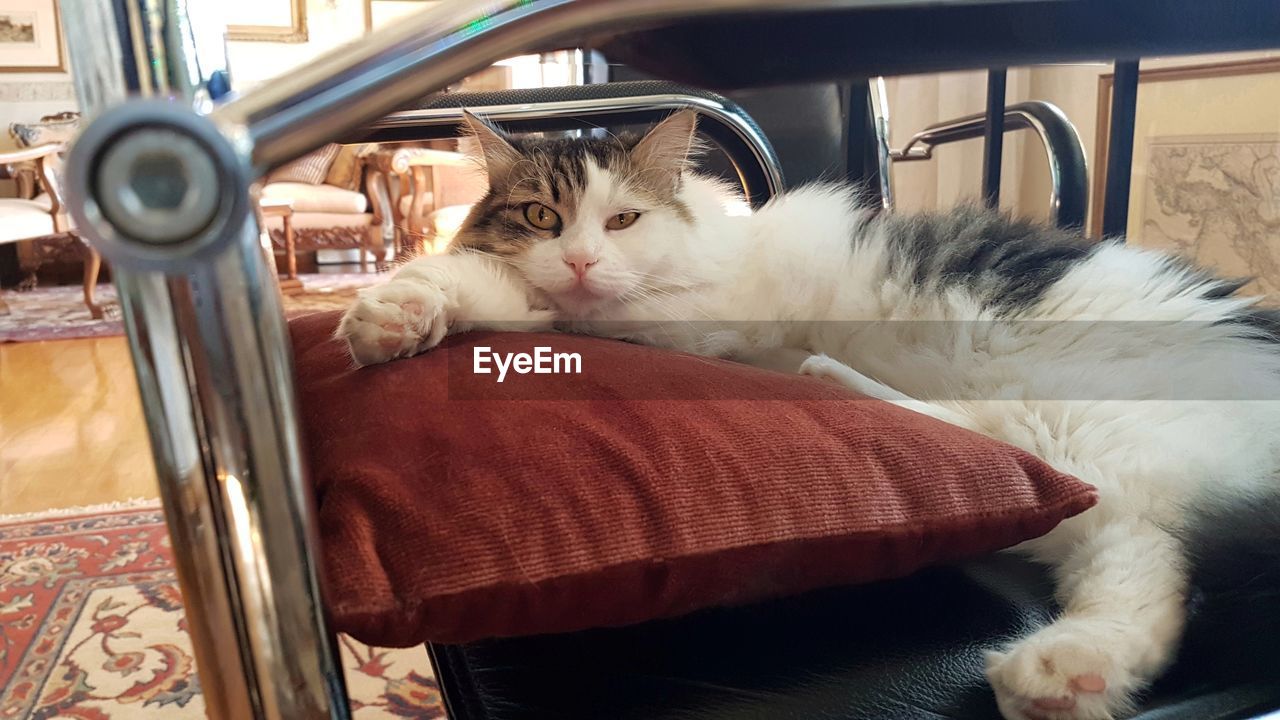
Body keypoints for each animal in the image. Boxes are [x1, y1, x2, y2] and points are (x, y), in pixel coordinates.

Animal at [332, 107, 1280, 717]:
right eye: (541, 215)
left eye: (623, 218)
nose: (582, 259)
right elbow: (471, 275)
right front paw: (393, 314)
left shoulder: (671, 318)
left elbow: (522, 295)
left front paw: (402, 307)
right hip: (1076, 474)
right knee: (1131, 560)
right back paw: (1069, 674)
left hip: (1079, 423)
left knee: (1128, 537)